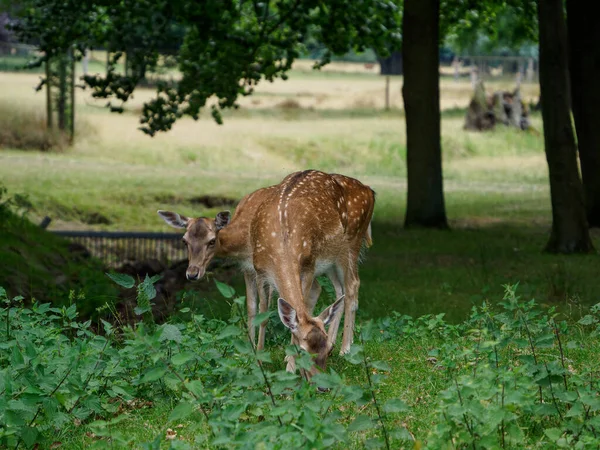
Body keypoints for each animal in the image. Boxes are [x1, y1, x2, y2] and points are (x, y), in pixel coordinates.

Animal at [159, 169, 376, 380]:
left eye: (211, 241)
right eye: (184, 241)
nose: (191, 273)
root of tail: (370, 191)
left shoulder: (307, 266)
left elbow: (296, 308)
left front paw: (288, 366)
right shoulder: (256, 269)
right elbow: (257, 311)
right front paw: (256, 357)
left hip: (350, 245)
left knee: (352, 285)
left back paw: (345, 349)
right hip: (331, 260)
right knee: (337, 290)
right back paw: (337, 344)